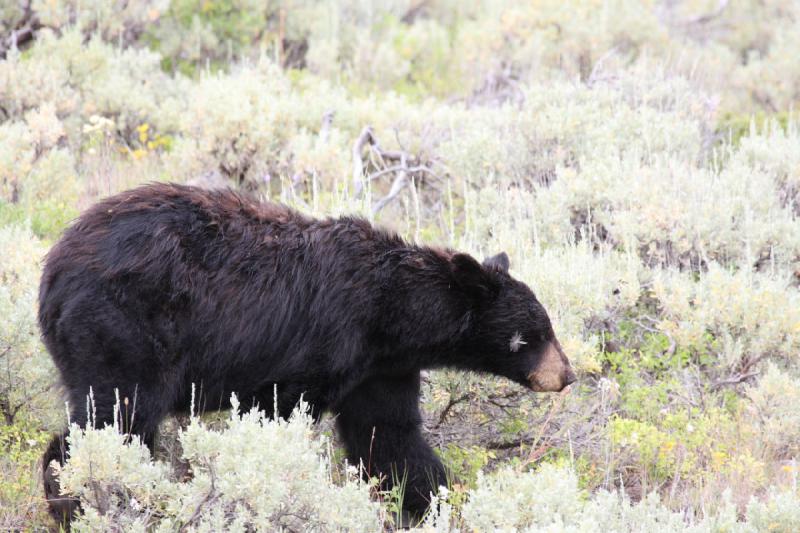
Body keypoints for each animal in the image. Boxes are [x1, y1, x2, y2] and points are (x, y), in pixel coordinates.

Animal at [39, 183, 576, 524]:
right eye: (534, 335)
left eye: (547, 328)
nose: (567, 374)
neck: (391, 314)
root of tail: (53, 271)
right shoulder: (323, 344)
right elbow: (279, 415)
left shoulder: (379, 369)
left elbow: (389, 436)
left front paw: (433, 504)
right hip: (124, 329)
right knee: (114, 417)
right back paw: (77, 502)